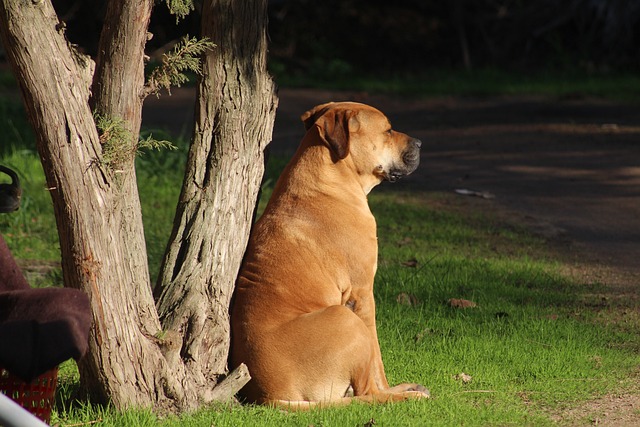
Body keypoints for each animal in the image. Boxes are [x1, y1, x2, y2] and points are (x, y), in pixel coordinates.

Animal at [231, 102, 430, 410]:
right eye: (387, 130)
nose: (420, 143)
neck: (330, 177)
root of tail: (269, 397)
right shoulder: (362, 294)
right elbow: (377, 359)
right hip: (346, 320)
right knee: (368, 393)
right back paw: (404, 396)